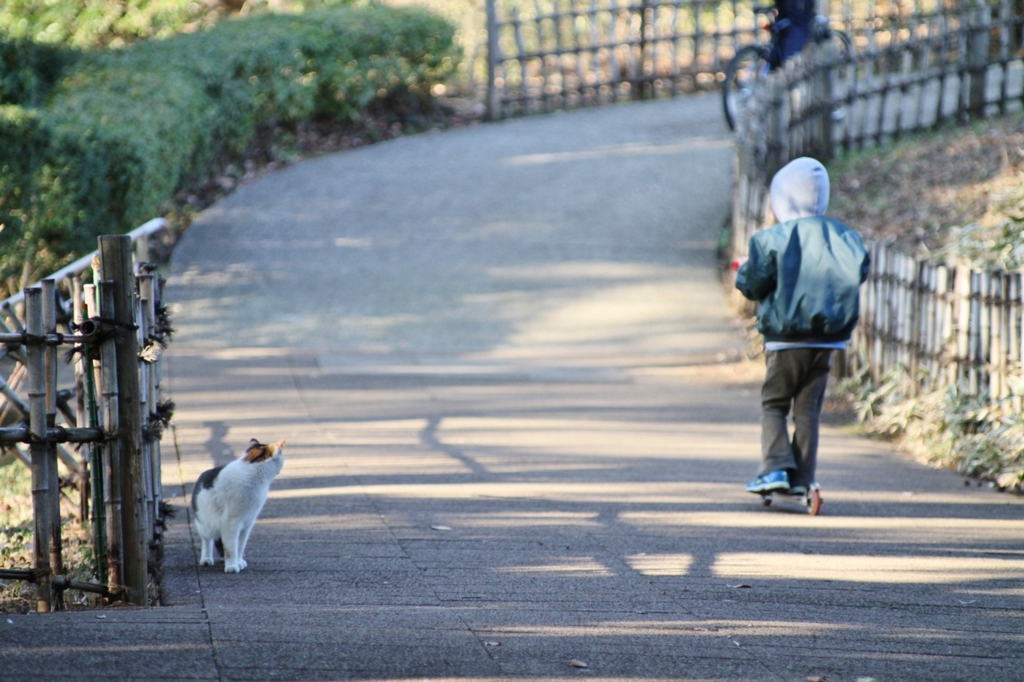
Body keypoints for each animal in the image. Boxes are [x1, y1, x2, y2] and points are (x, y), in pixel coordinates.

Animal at [191, 438, 284, 569]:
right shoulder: (231, 522)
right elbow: (231, 548)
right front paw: (232, 566)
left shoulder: (247, 522)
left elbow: (240, 546)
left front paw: (239, 562)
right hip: (204, 524)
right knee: (207, 541)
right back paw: (206, 559)